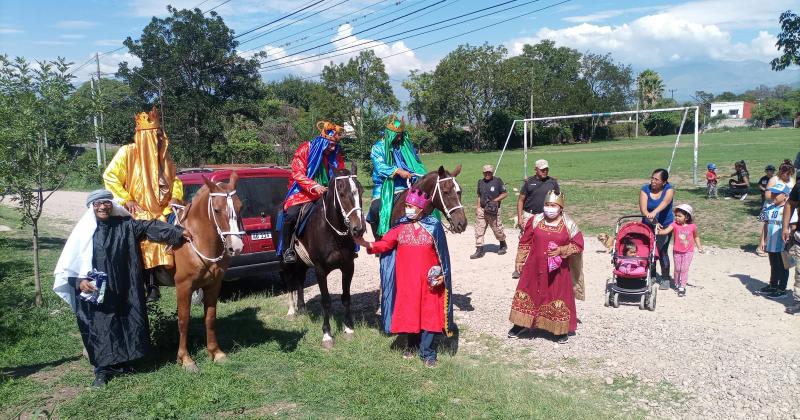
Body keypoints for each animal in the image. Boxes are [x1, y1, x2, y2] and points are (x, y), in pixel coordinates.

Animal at [169, 171, 244, 370]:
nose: (236, 247)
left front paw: (216, 353)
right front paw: (185, 359)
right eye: (217, 210)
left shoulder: (213, 285)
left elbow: (210, 318)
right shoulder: (184, 286)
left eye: (240, 207)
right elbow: (183, 320)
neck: (194, 241)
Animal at [272, 167, 366, 348]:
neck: (333, 232)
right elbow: (326, 301)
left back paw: (302, 308)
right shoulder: (320, 270)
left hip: (301, 262)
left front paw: (348, 328)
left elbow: (346, 297)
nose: (359, 229)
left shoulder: (348, 267)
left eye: (361, 191)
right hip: (285, 261)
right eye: (341, 193)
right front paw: (327, 334)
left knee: (300, 281)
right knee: (289, 282)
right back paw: (291, 311)